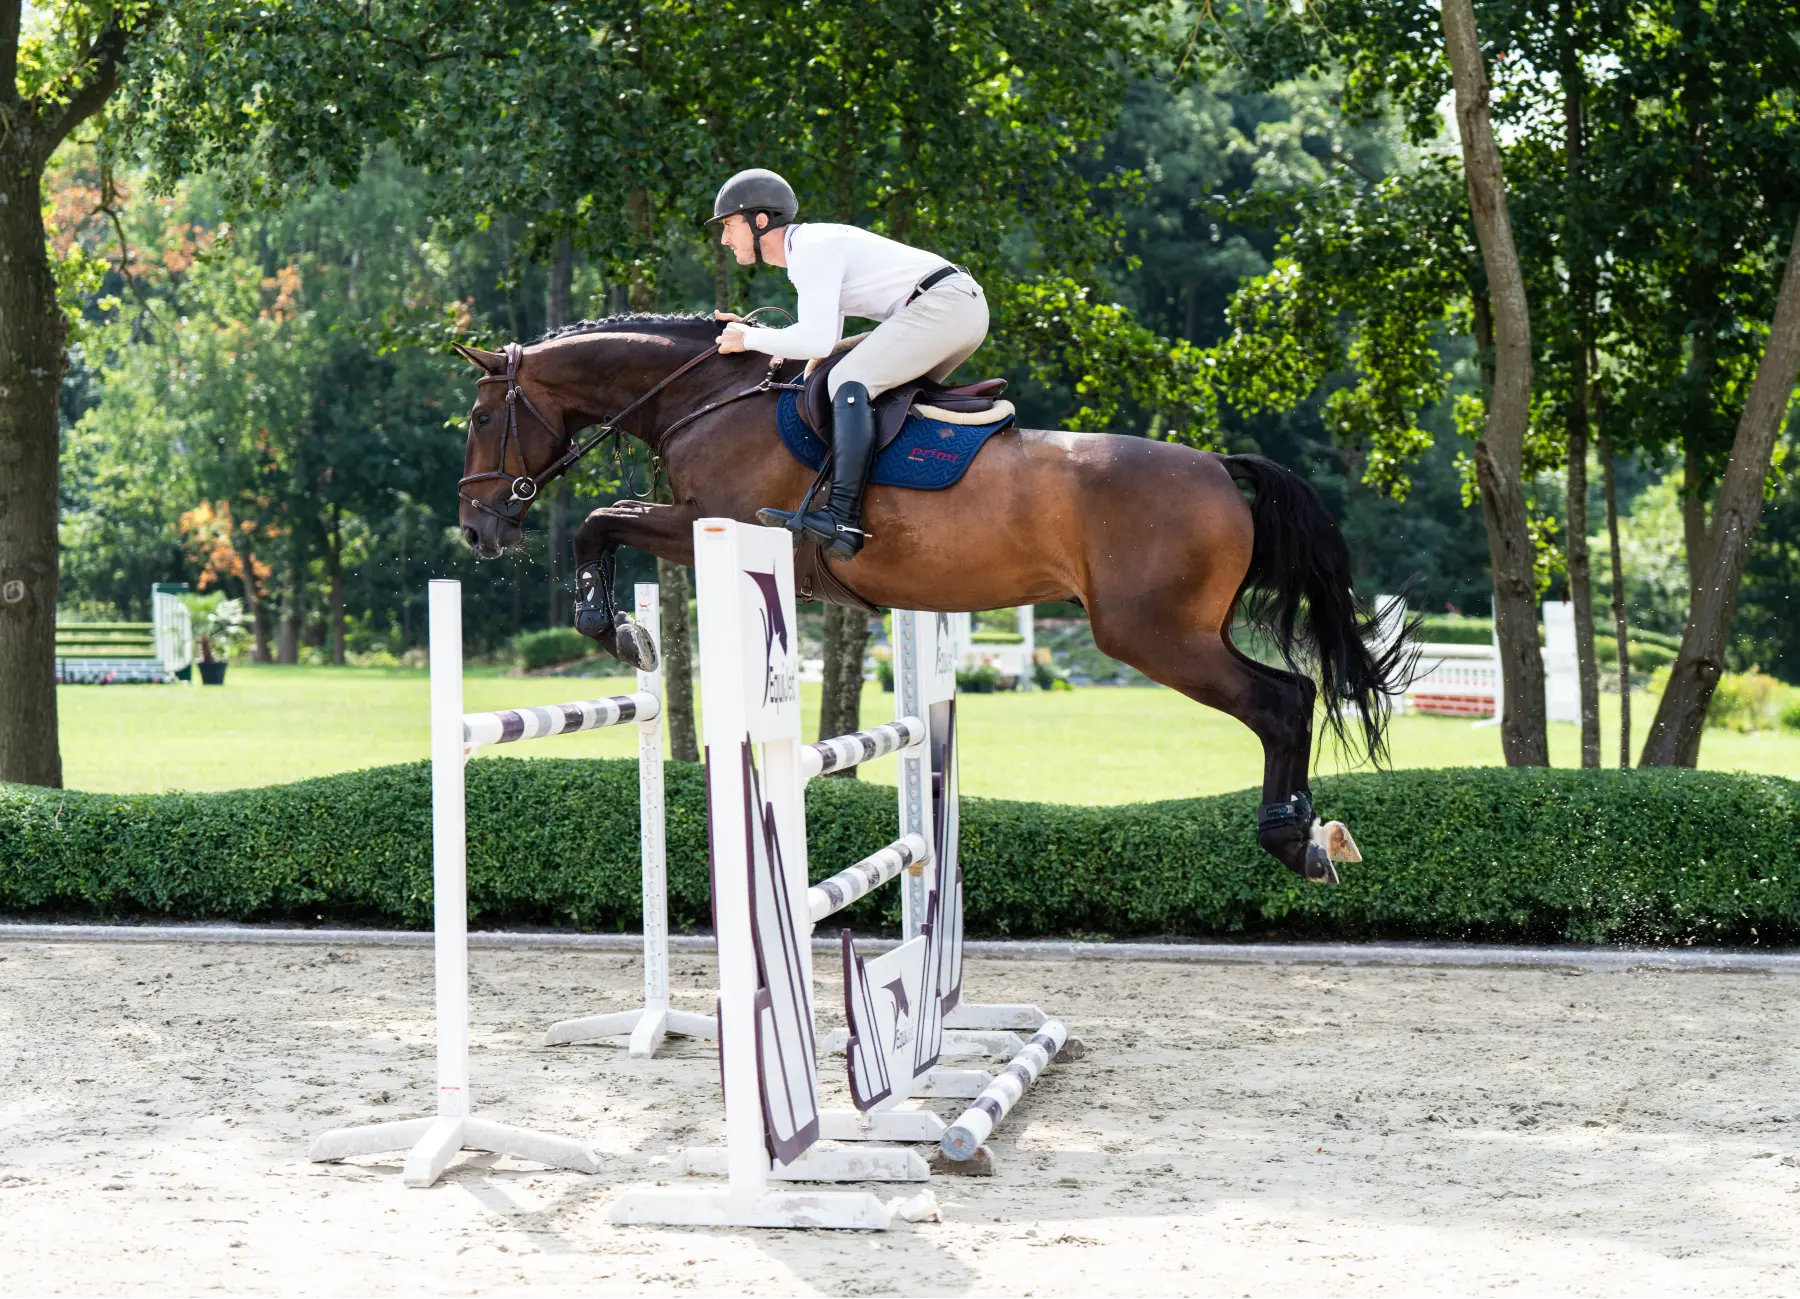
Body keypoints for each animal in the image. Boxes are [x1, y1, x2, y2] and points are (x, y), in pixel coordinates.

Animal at [452, 314, 1409, 883]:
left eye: (481, 417)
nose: (476, 528)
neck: (707, 396)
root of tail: (1218, 466)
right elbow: (606, 524)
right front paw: (615, 625)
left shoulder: (708, 522)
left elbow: (599, 524)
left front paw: (608, 626)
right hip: (1180, 631)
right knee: (1294, 694)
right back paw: (1310, 832)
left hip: (1153, 634)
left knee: (1281, 701)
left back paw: (1290, 837)